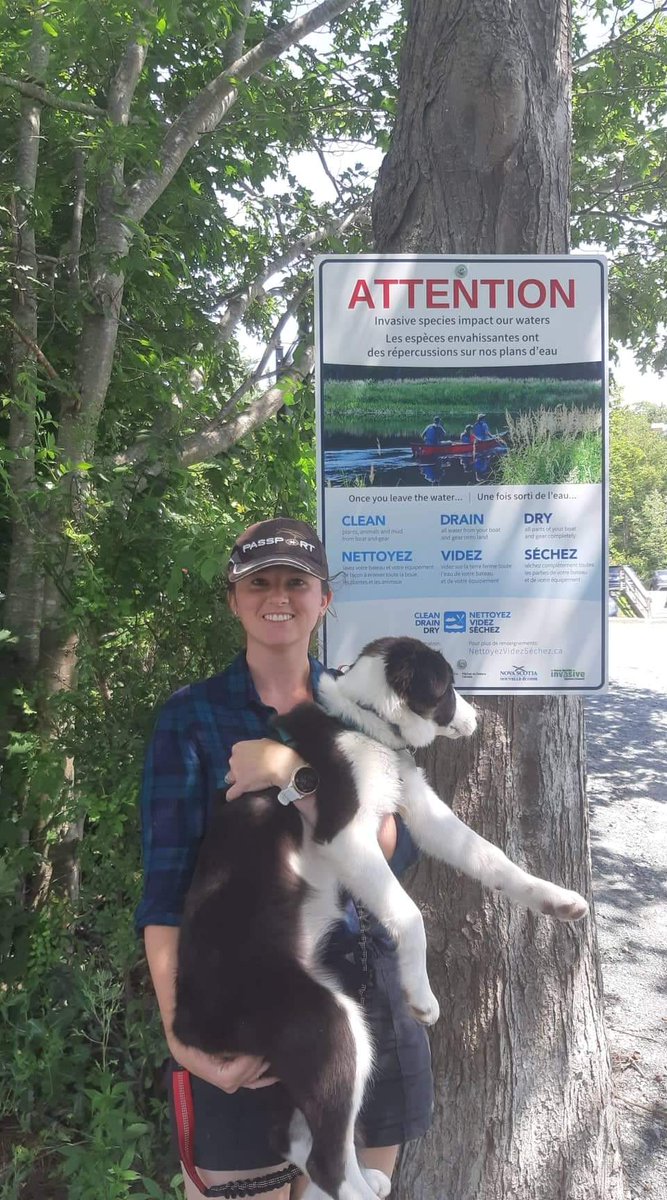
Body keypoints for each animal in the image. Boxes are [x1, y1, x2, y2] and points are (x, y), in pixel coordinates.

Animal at [172, 643, 587, 1200]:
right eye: (449, 687)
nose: (479, 719)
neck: (364, 722)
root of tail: (185, 1023)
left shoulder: (423, 812)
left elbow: (492, 858)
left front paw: (557, 900)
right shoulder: (345, 835)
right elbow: (409, 912)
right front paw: (421, 995)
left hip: (317, 1041)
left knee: (296, 1137)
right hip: (325, 1021)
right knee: (324, 1160)